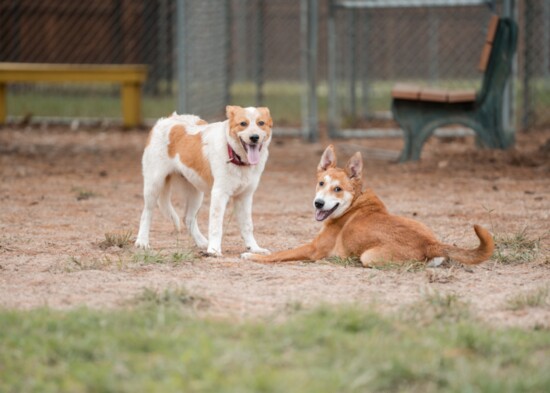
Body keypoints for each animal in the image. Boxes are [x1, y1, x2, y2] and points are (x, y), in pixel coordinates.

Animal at [136, 105, 274, 256]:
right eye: (243, 123)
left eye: (261, 123)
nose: (254, 137)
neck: (236, 157)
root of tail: (168, 118)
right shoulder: (219, 194)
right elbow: (216, 226)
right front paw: (214, 250)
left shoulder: (245, 196)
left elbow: (248, 225)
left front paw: (254, 248)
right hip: (154, 185)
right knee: (146, 214)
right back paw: (142, 242)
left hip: (196, 193)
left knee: (188, 219)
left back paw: (202, 242)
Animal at [244, 145, 498, 266]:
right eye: (321, 183)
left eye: (338, 189)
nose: (318, 203)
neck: (353, 205)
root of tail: (430, 243)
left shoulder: (312, 249)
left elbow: (279, 254)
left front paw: (252, 256)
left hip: (369, 256)